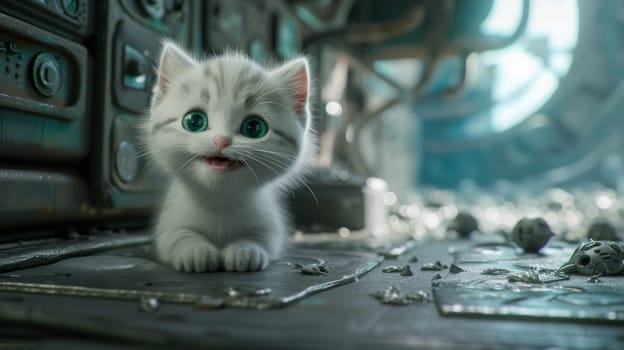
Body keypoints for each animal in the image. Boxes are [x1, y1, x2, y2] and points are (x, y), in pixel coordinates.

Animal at [144, 43, 314, 274]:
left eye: (254, 127)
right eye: (194, 121)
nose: (221, 140)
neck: (219, 201)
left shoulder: (270, 225)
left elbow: (261, 238)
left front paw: (246, 250)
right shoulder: (169, 222)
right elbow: (176, 236)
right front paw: (195, 251)